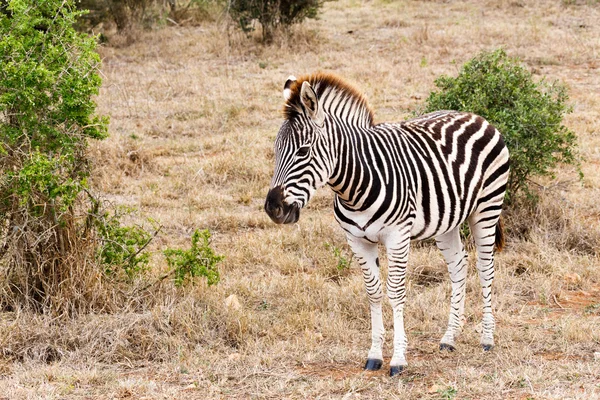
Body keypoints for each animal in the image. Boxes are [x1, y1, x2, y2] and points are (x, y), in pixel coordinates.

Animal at [264, 72, 508, 376]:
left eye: (303, 151)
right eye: (275, 151)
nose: (273, 208)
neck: (355, 187)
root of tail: (476, 116)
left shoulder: (397, 236)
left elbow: (395, 292)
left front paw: (399, 359)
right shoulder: (356, 240)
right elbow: (373, 292)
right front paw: (374, 355)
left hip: (487, 207)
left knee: (485, 268)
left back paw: (487, 339)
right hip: (447, 220)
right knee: (458, 266)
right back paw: (449, 338)